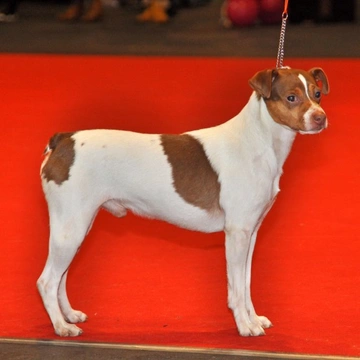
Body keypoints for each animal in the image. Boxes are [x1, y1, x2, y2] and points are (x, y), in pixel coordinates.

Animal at [36, 67, 330, 338]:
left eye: (317, 94)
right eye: (291, 97)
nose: (320, 118)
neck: (257, 143)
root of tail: (64, 140)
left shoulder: (252, 232)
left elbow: (245, 283)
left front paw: (254, 318)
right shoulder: (237, 234)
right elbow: (236, 288)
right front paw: (246, 326)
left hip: (77, 228)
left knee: (61, 277)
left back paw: (69, 315)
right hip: (69, 229)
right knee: (47, 281)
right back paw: (62, 327)